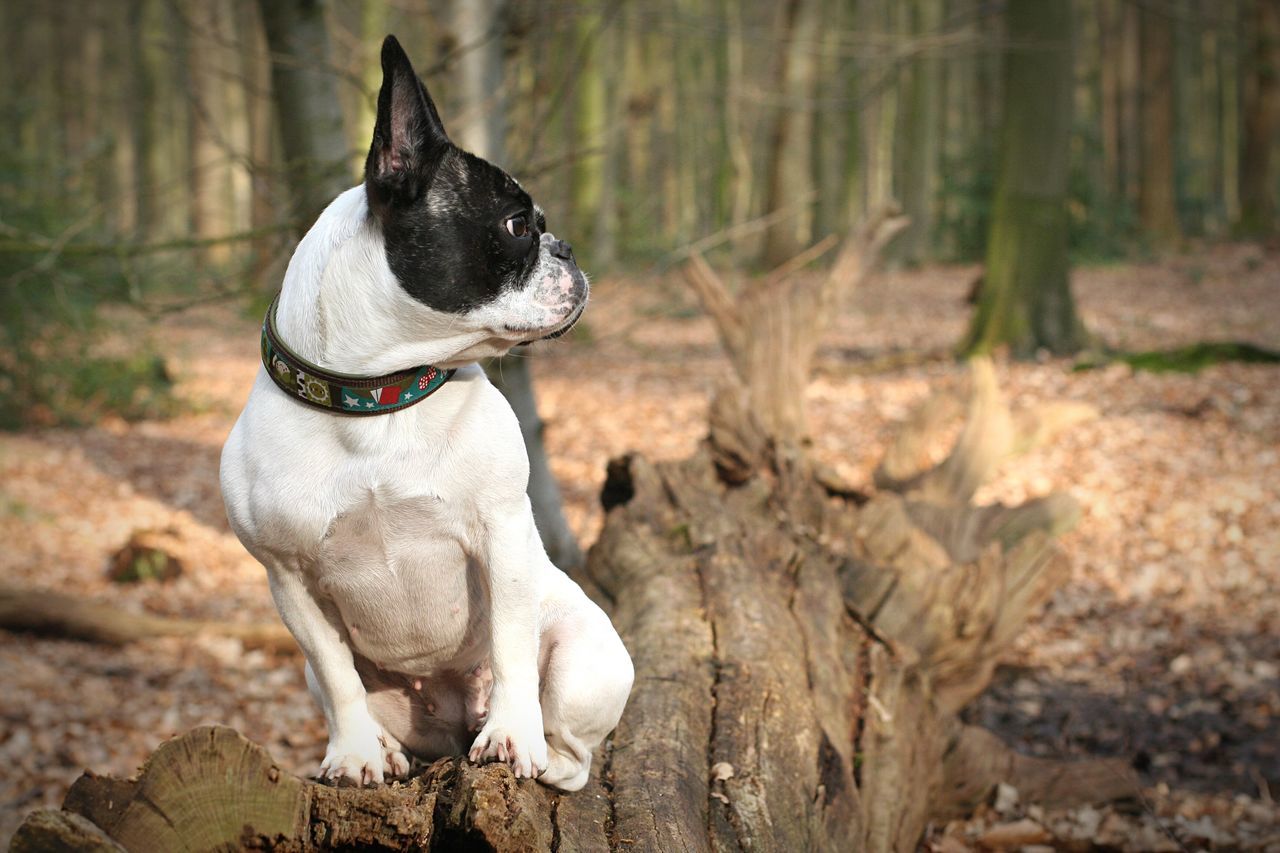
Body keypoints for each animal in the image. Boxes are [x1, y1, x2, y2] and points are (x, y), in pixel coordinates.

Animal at [225, 36, 640, 788]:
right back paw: (385, 752)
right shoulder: (287, 579)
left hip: (586, 657)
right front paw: (354, 754)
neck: (378, 397)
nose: (566, 247)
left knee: (574, 749)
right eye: (516, 225)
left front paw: (512, 735)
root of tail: (449, 724)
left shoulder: (501, 532)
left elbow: (509, 644)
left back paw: (536, 751)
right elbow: (337, 673)